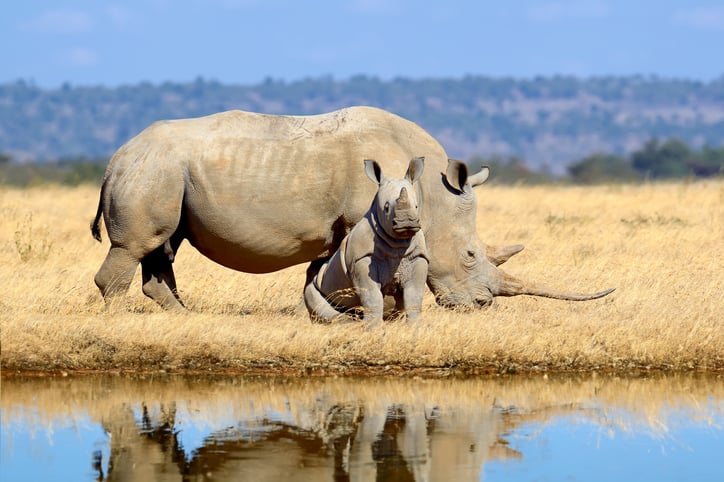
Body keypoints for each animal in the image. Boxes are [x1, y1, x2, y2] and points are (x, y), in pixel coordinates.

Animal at [302, 156, 428, 326]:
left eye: (416, 206)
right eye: (386, 208)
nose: (407, 223)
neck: (398, 241)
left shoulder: (417, 257)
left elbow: (414, 295)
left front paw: (417, 326)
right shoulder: (361, 259)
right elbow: (372, 296)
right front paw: (374, 329)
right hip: (316, 284)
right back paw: (350, 323)